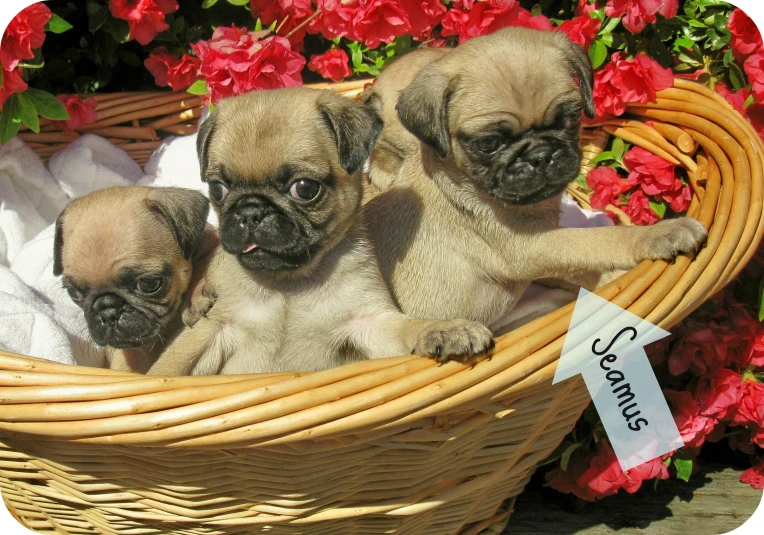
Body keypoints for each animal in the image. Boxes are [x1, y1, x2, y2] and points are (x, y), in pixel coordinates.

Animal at [148, 87, 496, 376]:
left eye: (305, 189)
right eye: (217, 189)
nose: (250, 211)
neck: (288, 287)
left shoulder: (370, 322)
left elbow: (407, 327)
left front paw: (445, 329)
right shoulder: (211, 328)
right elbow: (168, 369)